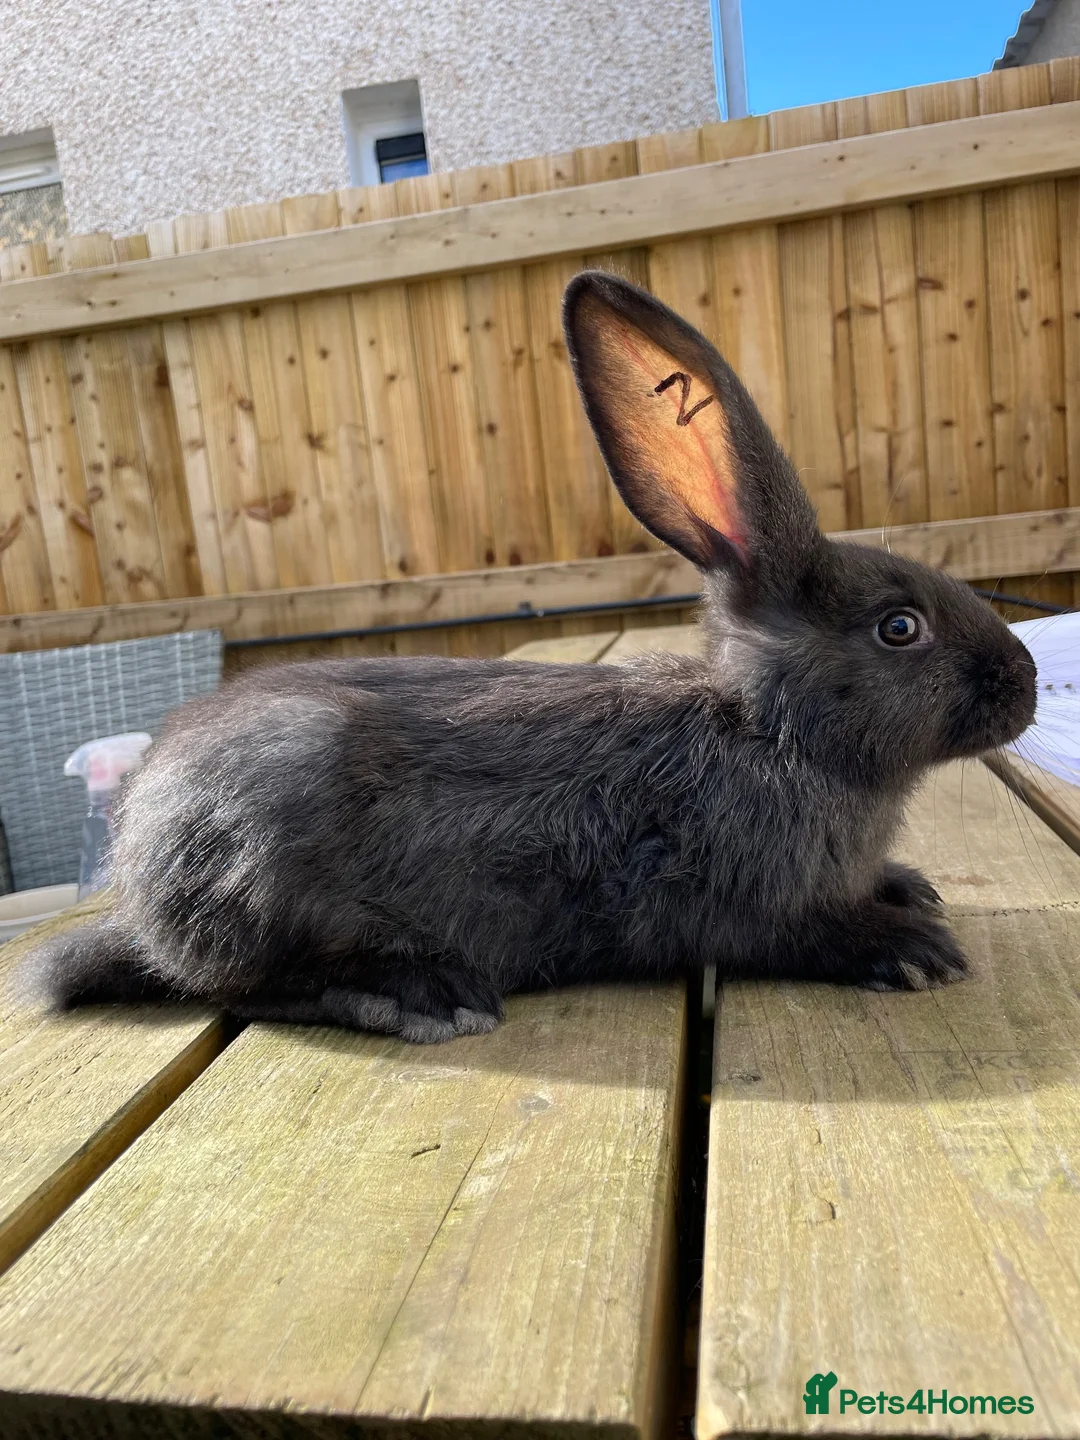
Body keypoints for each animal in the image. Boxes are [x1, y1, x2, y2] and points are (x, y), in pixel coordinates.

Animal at [21, 271, 1037, 1043]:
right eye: (899, 628)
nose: (1024, 686)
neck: (766, 729)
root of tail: (142, 892)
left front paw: (911, 890)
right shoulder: (746, 901)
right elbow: (796, 933)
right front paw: (909, 949)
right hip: (267, 855)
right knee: (242, 986)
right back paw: (422, 997)